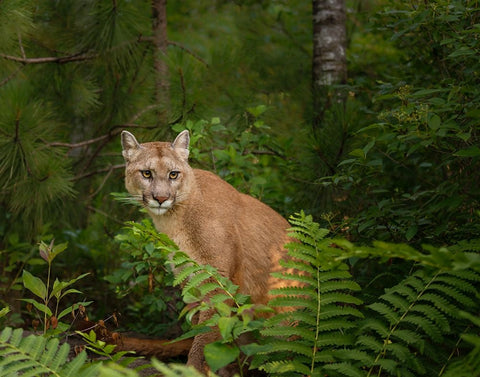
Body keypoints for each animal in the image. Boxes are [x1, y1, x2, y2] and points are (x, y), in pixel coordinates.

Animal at [120, 130, 292, 374]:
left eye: (173, 174)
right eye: (146, 173)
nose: (161, 198)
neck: (175, 220)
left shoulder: (218, 281)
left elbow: (205, 336)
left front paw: (194, 369)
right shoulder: (192, 282)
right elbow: (200, 329)